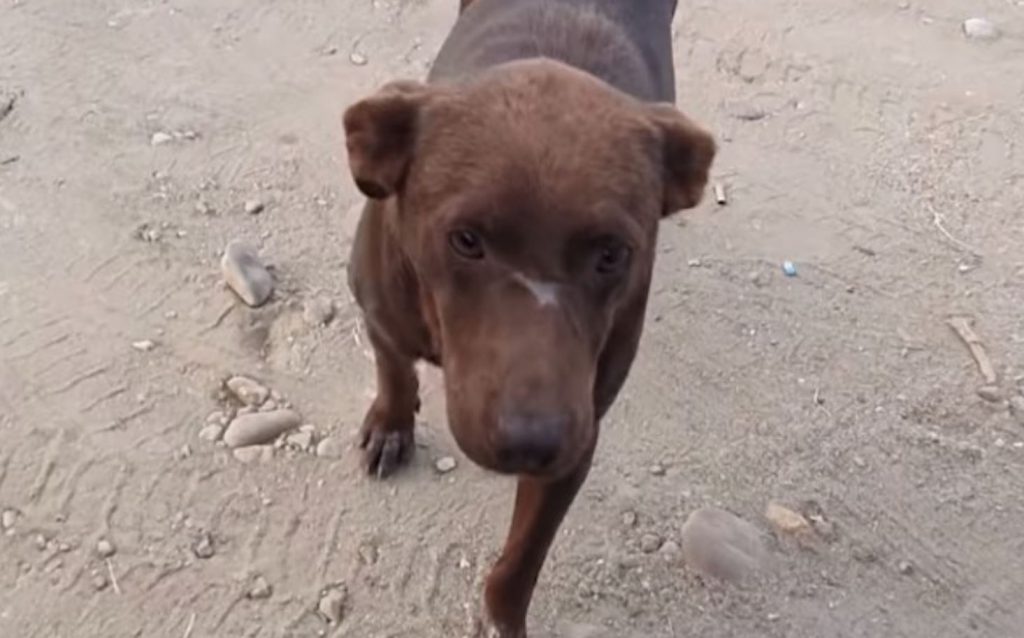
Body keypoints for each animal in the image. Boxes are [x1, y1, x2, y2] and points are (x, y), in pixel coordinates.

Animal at [342, 0, 712, 634]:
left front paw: (501, 616)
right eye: (465, 240)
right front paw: (392, 423)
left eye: (612, 253)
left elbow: (521, 561)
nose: (531, 442)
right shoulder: (380, 306)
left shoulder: (576, 446)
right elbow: (393, 366)